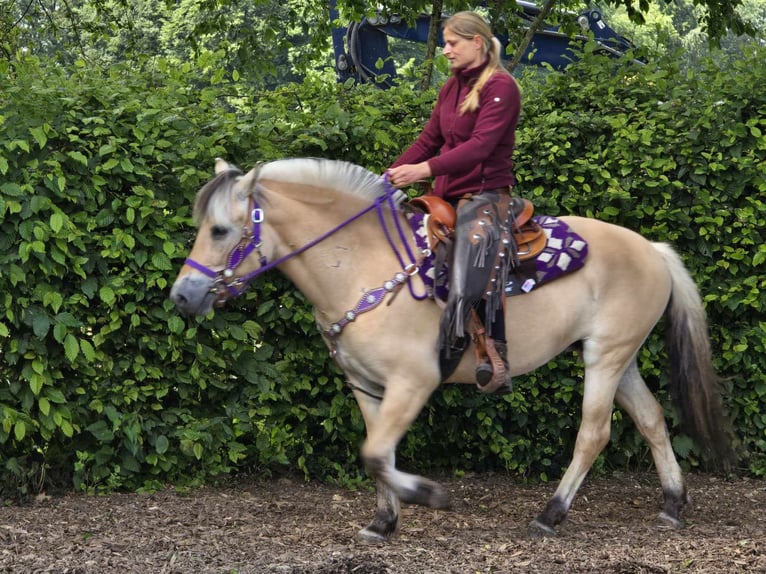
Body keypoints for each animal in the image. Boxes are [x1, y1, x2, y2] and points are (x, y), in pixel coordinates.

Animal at [171, 159, 736, 544]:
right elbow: (377, 453)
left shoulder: (413, 382)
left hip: (606, 357)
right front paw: (384, 521)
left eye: (220, 229)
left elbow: (374, 453)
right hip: (621, 358)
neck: (360, 265)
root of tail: (653, 250)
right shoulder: (367, 387)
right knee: (652, 418)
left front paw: (428, 495)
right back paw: (673, 503)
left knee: (594, 433)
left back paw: (550, 514)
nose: (181, 296)